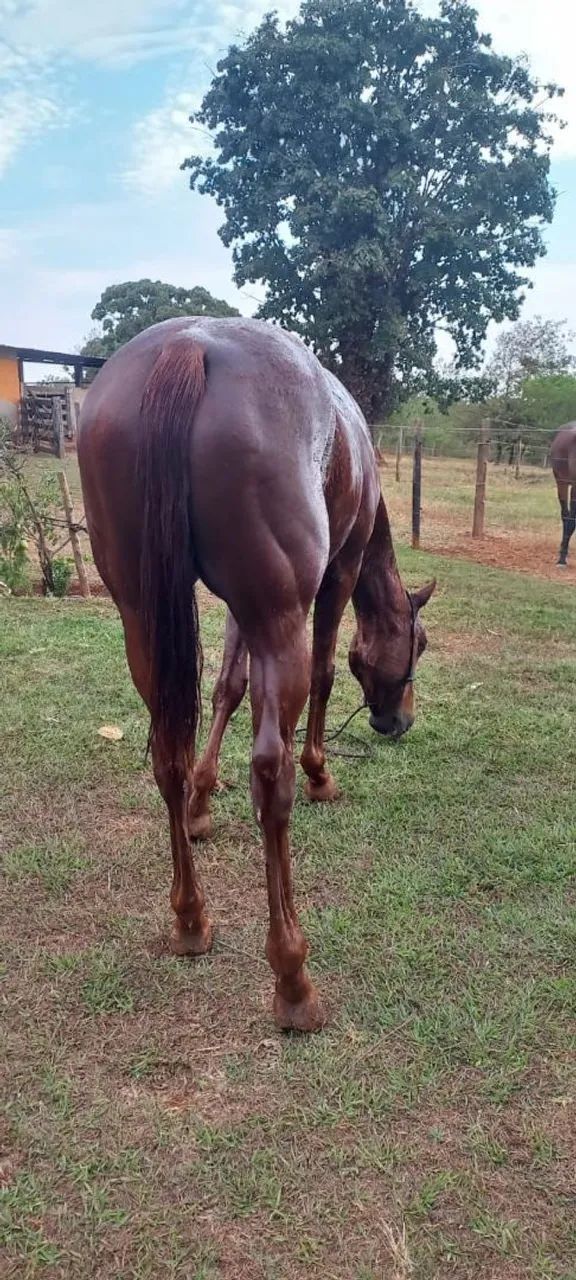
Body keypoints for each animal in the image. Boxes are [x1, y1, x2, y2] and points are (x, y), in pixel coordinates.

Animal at [78, 317, 435, 1032]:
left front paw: (201, 802)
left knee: (166, 752)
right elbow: (325, 672)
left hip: (144, 615)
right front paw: (322, 773)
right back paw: (292, 977)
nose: (398, 721)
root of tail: (187, 346)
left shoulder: (238, 611)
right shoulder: (333, 578)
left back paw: (191, 918)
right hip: (280, 616)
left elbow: (226, 688)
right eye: (421, 643)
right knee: (271, 775)